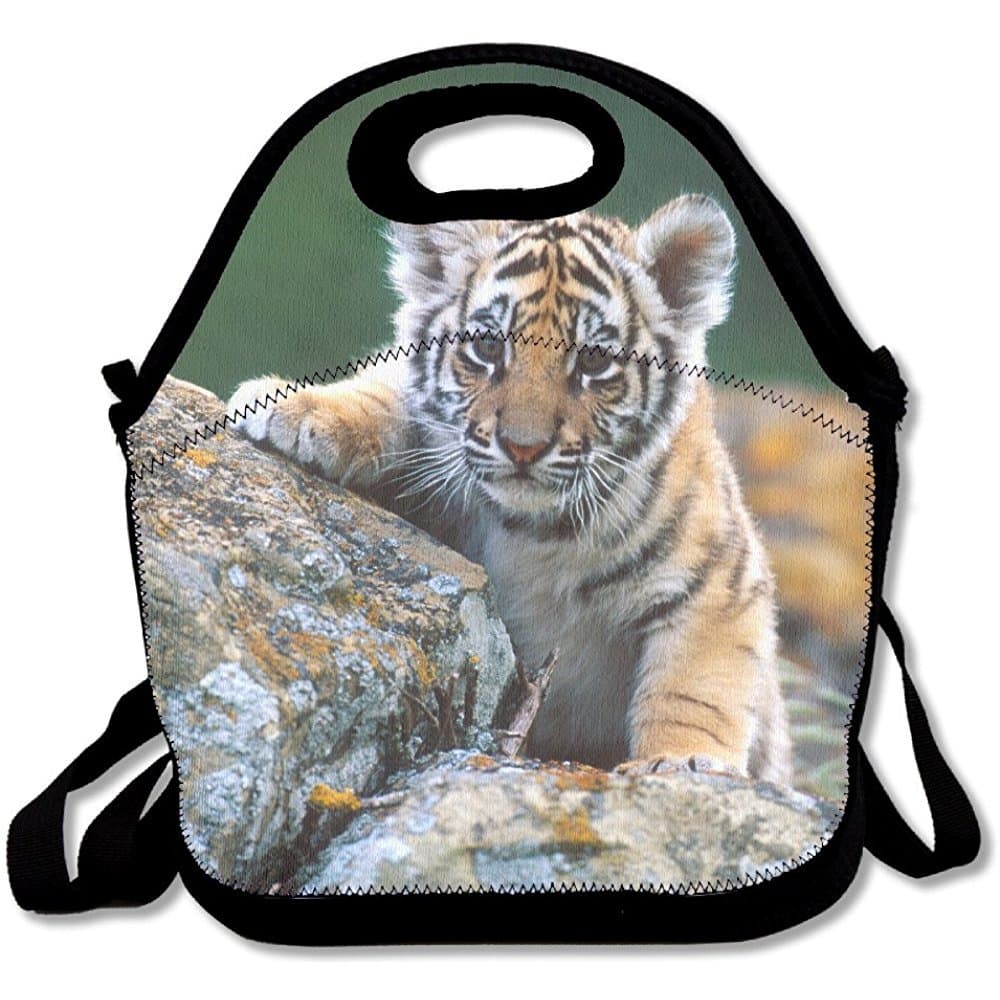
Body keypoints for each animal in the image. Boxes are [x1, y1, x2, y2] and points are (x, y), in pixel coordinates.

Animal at [228, 194, 792, 784]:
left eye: (594, 360)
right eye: (487, 347)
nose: (524, 447)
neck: (536, 532)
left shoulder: (720, 583)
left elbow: (694, 689)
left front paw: (682, 762)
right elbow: (390, 393)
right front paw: (293, 407)